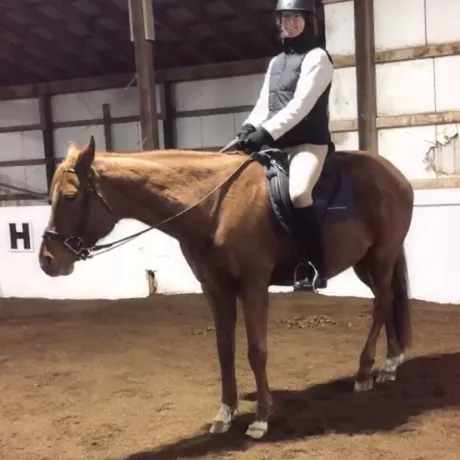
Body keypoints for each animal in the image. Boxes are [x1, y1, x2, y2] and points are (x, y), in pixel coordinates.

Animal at [38, 136, 414, 438]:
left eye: (70, 196)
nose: (47, 261)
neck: (215, 206)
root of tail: (394, 174)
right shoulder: (215, 288)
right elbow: (224, 350)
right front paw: (225, 413)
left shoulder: (253, 285)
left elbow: (256, 350)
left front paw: (261, 418)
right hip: (366, 263)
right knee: (387, 300)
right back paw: (391, 362)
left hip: (381, 257)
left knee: (381, 303)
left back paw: (366, 372)